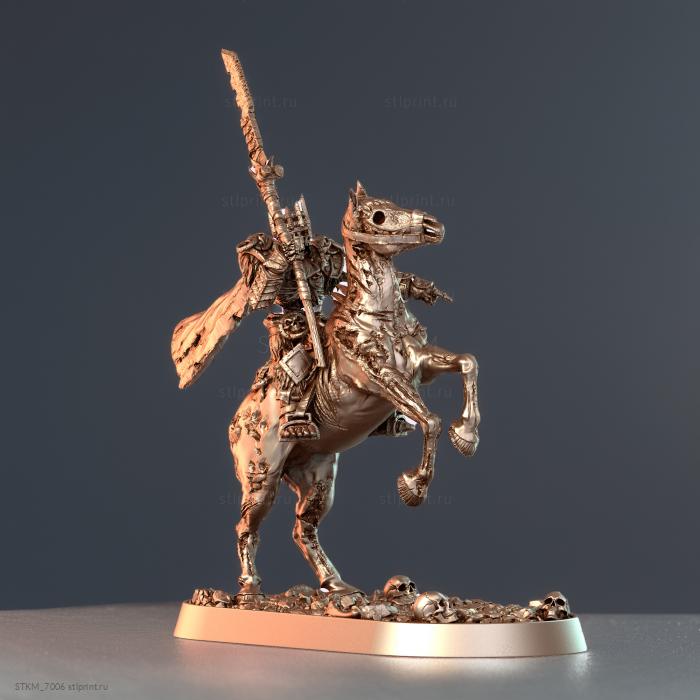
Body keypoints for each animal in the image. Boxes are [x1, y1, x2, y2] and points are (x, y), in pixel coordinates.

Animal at [229, 182, 480, 597]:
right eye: (378, 216)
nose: (432, 226)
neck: (379, 318)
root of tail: (237, 422)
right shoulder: (378, 378)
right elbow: (430, 420)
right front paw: (413, 487)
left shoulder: (420, 366)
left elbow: (467, 363)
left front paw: (467, 436)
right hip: (261, 478)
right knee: (247, 527)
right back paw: (250, 588)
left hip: (317, 479)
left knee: (303, 528)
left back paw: (337, 585)